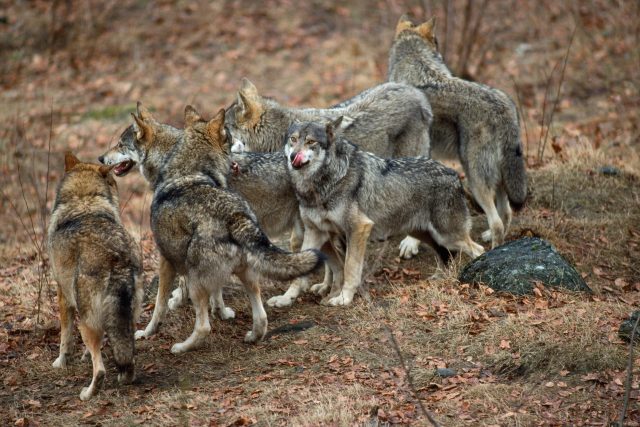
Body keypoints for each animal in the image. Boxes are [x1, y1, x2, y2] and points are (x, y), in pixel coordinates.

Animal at [48, 153, 143, 402]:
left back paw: (87, 393)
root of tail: (117, 258)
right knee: (128, 356)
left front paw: (60, 363)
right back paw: (124, 377)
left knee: (100, 371)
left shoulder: (63, 295)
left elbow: (65, 338)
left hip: (86, 321)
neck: (84, 200)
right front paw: (83, 356)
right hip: (128, 317)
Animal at [98, 103, 322, 354]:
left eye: (120, 144)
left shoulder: (170, 254)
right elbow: (214, 289)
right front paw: (219, 310)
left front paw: (167, 313)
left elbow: (165, 299)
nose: (100, 158)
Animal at [268, 117, 482, 310]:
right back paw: (440, 277)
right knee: (446, 255)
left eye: (311, 142)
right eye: (293, 139)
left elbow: (350, 268)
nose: (293, 156)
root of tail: (454, 174)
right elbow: (300, 274)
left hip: (448, 236)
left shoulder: (359, 228)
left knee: (476, 249)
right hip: (425, 234)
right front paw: (285, 299)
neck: (325, 183)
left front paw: (344, 298)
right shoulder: (316, 232)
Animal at [388, 17, 528, 251]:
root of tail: (504, 109)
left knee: (497, 222)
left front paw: (410, 243)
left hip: (475, 180)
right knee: (507, 213)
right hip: (497, 178)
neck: (416, 64)